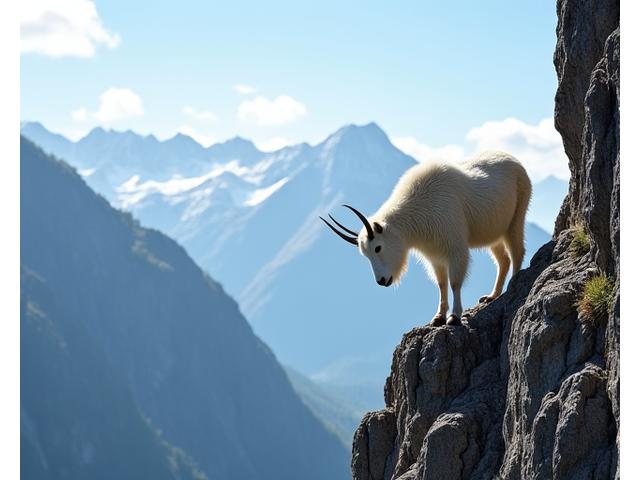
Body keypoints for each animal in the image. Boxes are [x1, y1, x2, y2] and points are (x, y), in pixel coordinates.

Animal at [321, 151, 532, 326]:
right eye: (365, 254)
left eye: (378, 248)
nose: (381, 281)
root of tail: (515, 160)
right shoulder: (434, 255)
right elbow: (441, 283)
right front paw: (438, 317)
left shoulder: (455, 248)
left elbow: (455, 282)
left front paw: (454, 317)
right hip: (494, 234)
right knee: (503, 259)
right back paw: (492, 296)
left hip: (516, 218)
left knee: (517, 252)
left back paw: (513, 286)